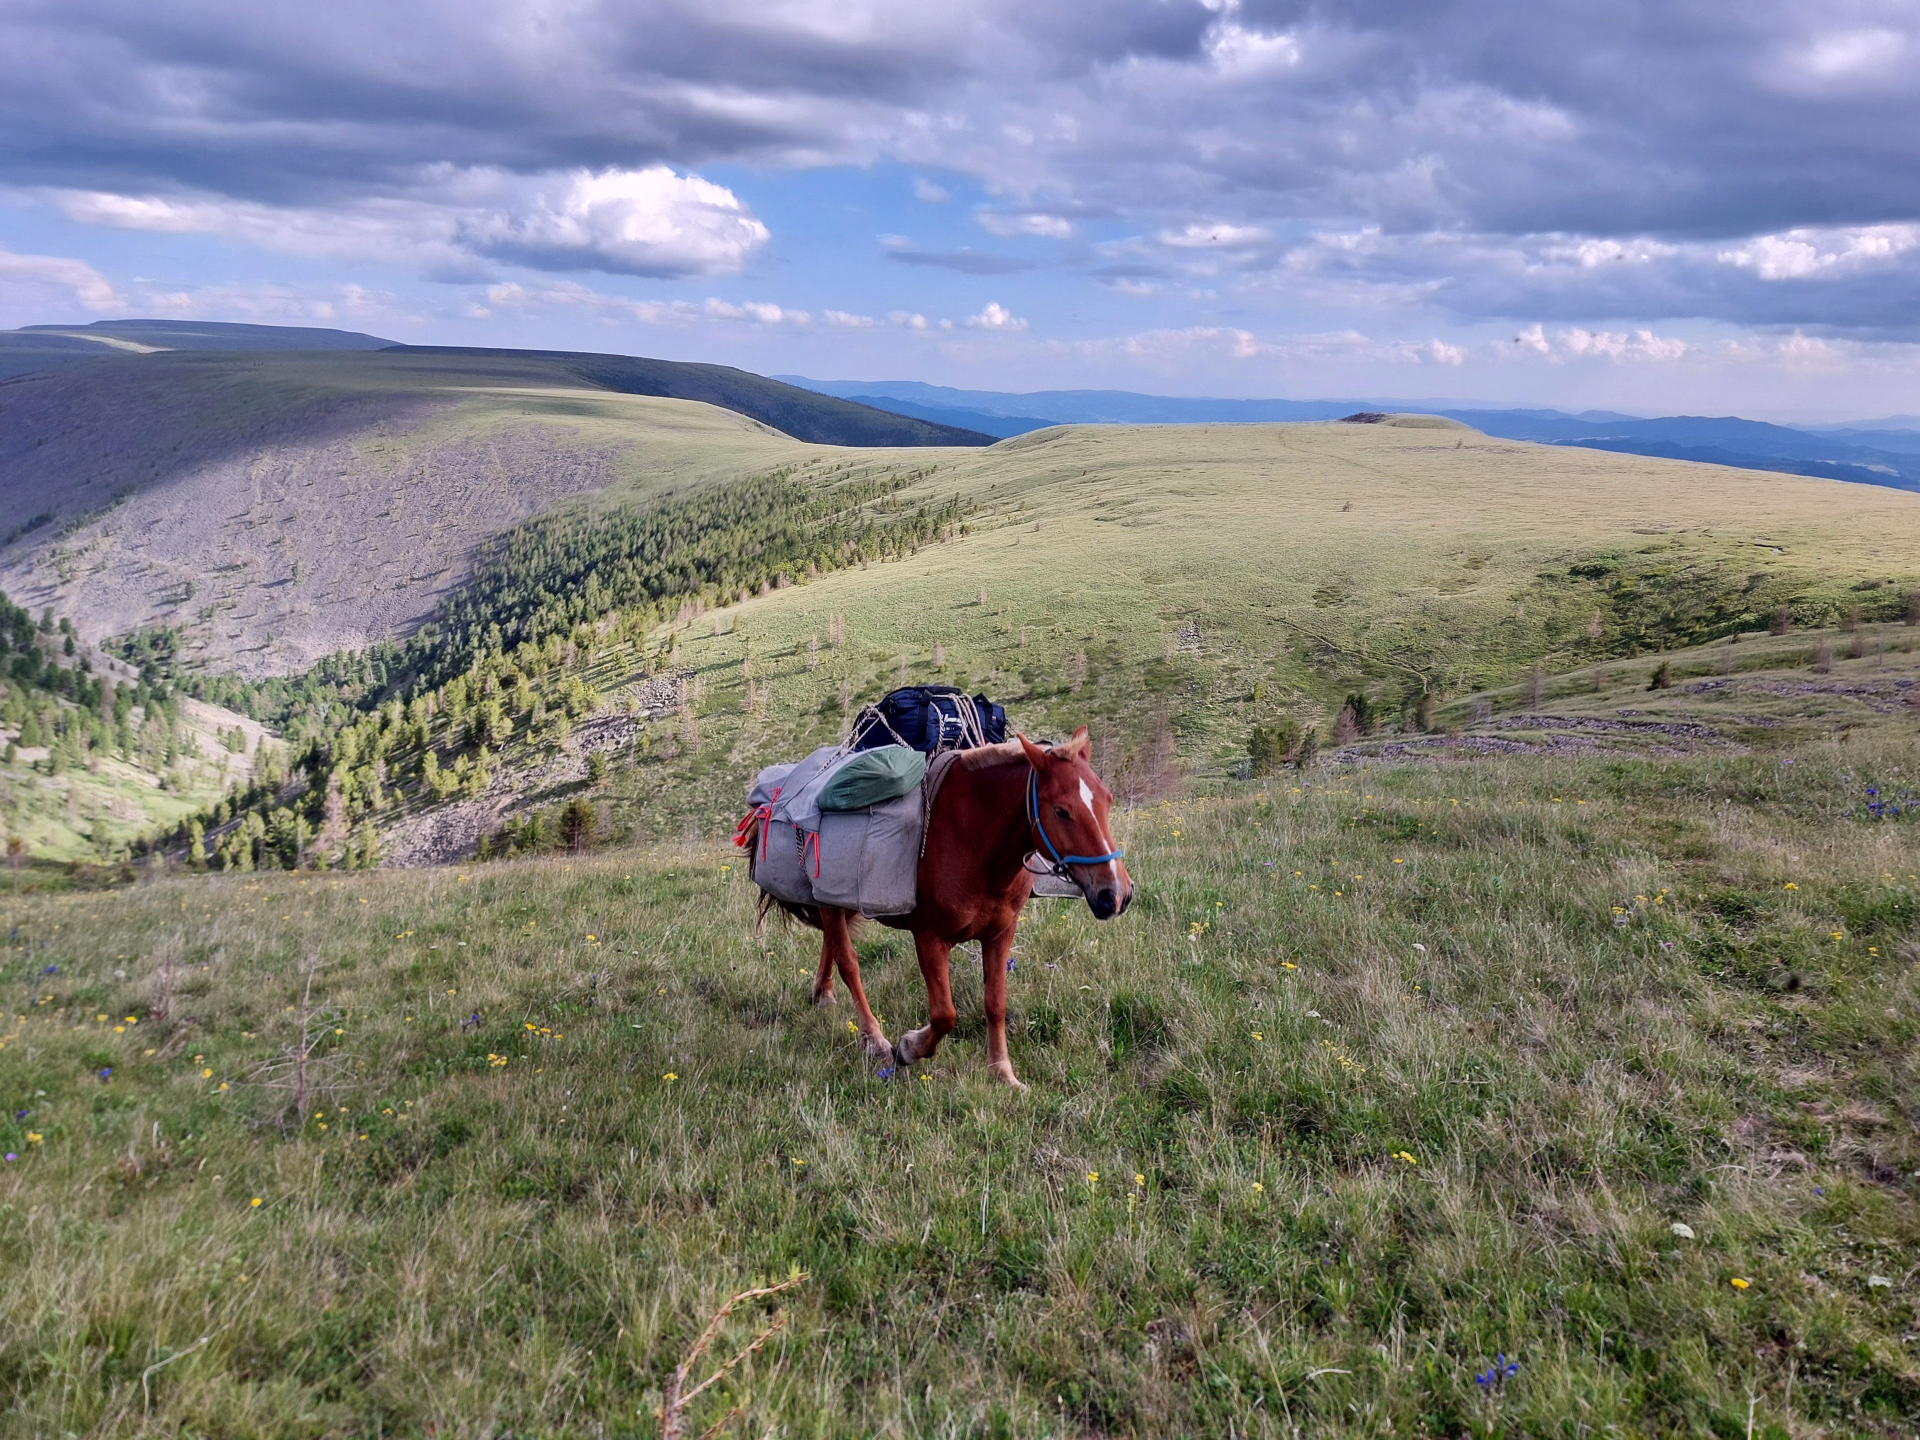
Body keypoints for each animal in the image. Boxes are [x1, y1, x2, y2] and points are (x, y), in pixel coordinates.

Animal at [755, 727, 1133, 1089]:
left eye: (1108, 800)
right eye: (1061, 811)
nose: (1116, 894)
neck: (973, 838)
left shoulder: (1000, 933)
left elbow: (995, 1003)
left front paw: (1003, 1073)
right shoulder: (930, 938)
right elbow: (944, 1014)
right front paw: (908, 1048)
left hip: (844, 897)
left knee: (832, 941)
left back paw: (823, 993)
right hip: (832, 897)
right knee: (848, 960)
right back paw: (874, 1038)